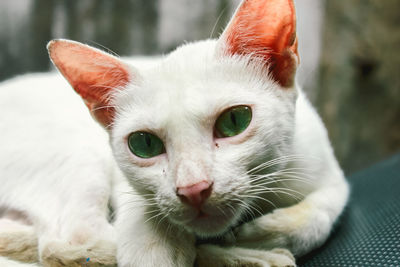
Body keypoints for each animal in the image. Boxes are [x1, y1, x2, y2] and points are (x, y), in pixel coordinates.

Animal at [0, 0, 348, 266]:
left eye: (234, 121)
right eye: (144, 144)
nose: (193, 189)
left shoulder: (327, 169)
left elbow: (323, 212)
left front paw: (263, 234)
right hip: (78, 158)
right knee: (66, 244)